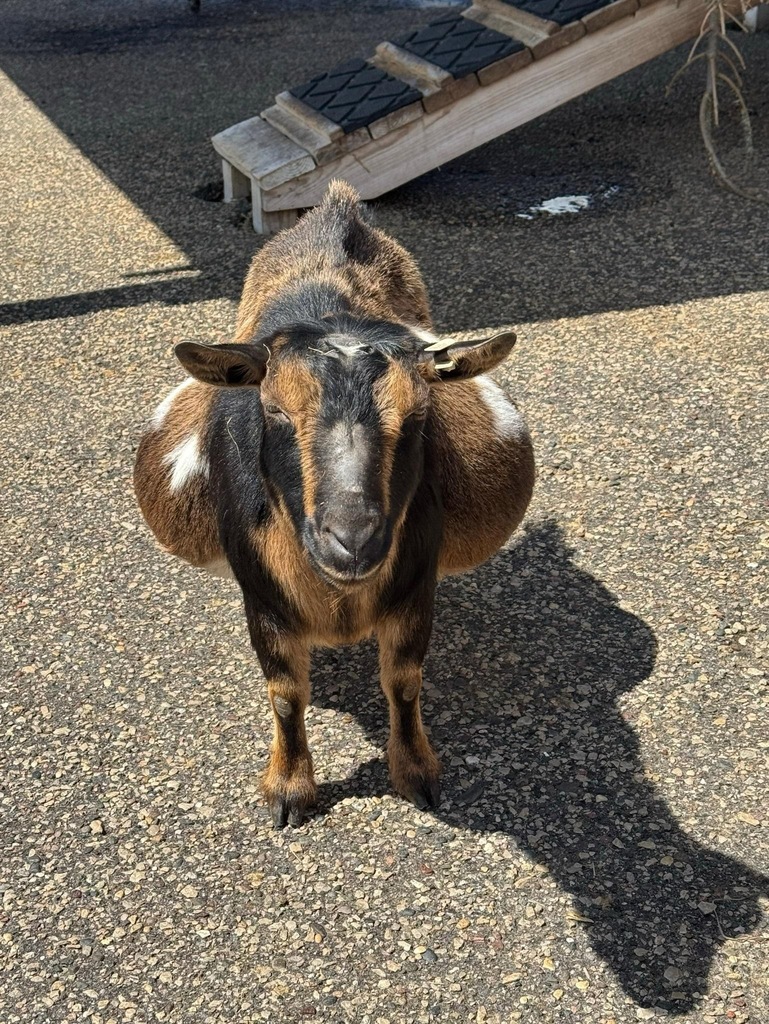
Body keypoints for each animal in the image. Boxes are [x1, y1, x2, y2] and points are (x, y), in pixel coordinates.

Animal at [133, 181, 535, 827]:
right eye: (273, 409)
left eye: (419, 417)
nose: (351, 541)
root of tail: (336, 209)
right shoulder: (262, 595)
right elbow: (285, 693)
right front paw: (289, 791)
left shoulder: (414, 584)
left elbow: (404, 680)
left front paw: (417, 775)